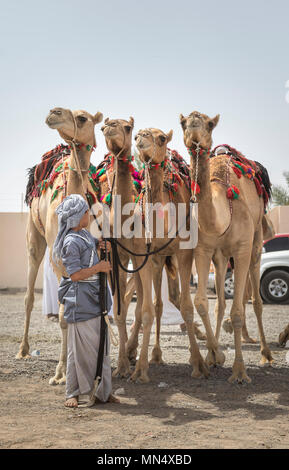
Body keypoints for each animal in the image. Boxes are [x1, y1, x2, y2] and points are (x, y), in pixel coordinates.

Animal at [15, 106, 103, 386]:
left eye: (83, 118)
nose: (53, 113)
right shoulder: (59, 261)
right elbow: (65, 315)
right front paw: (61, 372)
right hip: (34, 238)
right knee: (29, 296)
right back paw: (22, 350)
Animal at [180, 110, 272, 382]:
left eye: (209, 124)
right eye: (183, 123)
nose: (194, 130)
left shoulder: (241, 249)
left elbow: (239, 311)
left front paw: (240, 371)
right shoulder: (203, 250)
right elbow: (202, 302)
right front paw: (215, 355)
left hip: (255, 243)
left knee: (256, 301)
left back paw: (266, 354)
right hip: (220, 258)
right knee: (220, 303)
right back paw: (214, 355)